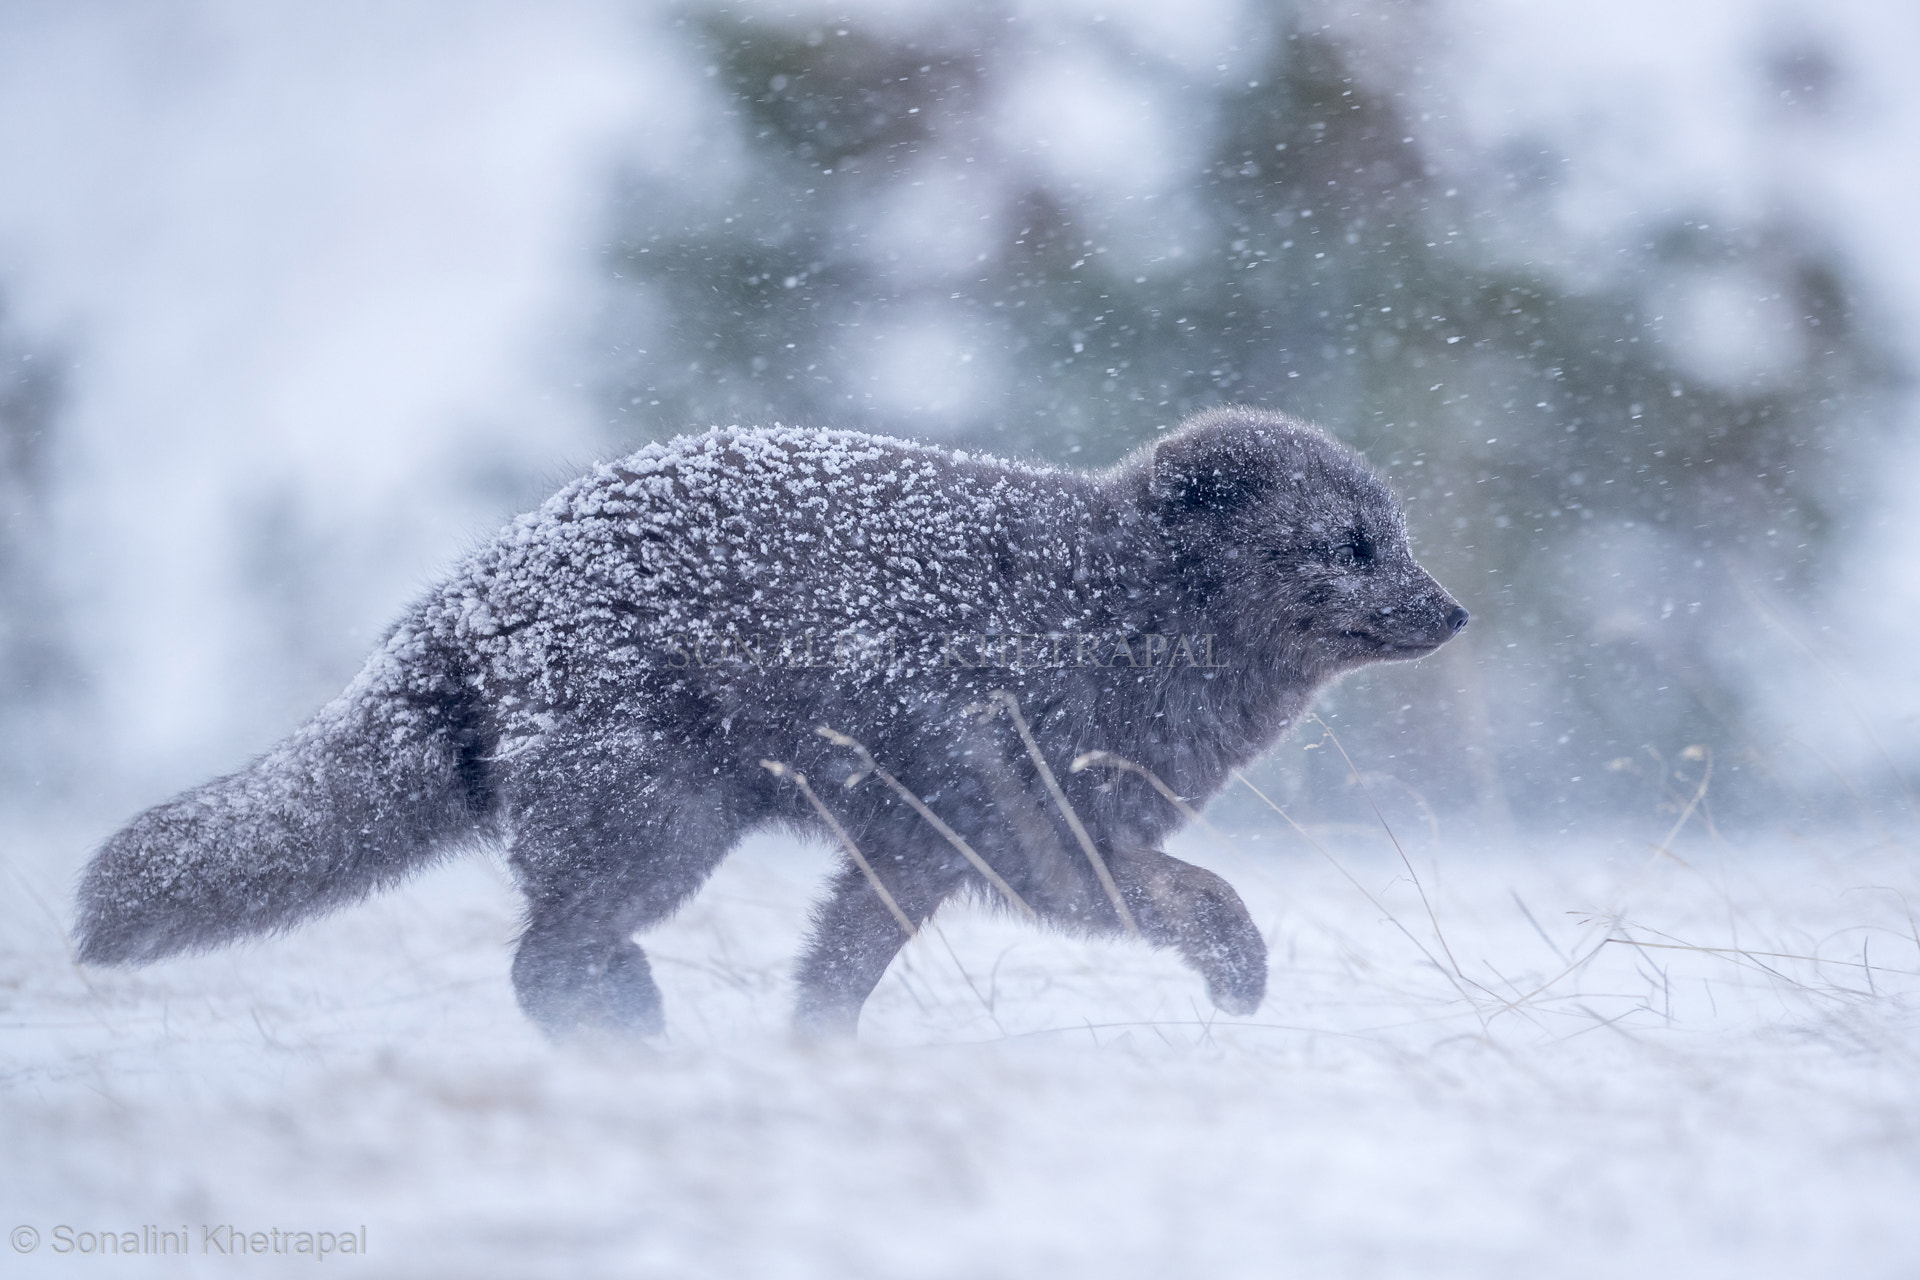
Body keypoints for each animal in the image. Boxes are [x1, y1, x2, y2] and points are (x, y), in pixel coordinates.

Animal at [67, 410, 1459, 1043]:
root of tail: (468, 589)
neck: (1108, 611)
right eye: (1351, 543)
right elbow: (1203, 896)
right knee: (544, 954)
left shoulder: (913, 843)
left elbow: (838, 967)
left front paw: (814, 1057)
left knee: (551, 949)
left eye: (1396, 533)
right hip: (656, 820)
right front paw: (1241, 980)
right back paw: (629, 1026)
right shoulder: (1026, 827)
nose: (1451, 608)